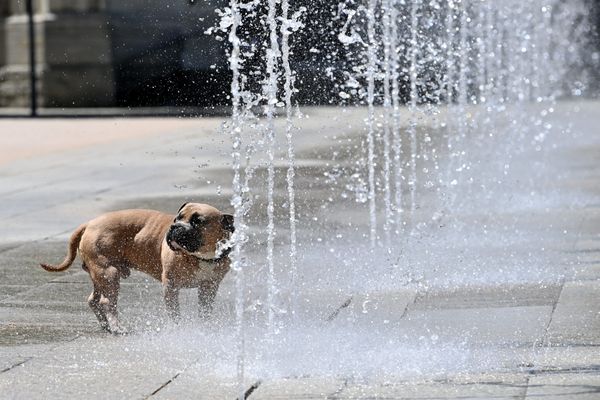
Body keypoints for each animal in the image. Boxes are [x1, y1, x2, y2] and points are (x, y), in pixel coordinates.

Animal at [41, 203, 233, 334]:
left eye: (198, 221)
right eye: (177, 218)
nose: (174, 227)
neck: (202, 256)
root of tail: (90, 223)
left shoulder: (209, 287)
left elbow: (205, 310)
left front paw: (204, 328)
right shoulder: (171, 287)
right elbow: (174, 312)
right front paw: (179, 329)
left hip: (100, 276)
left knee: (93, 300)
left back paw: (106, 325)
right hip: (109, 273)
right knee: (107, 302)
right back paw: (117, 327)